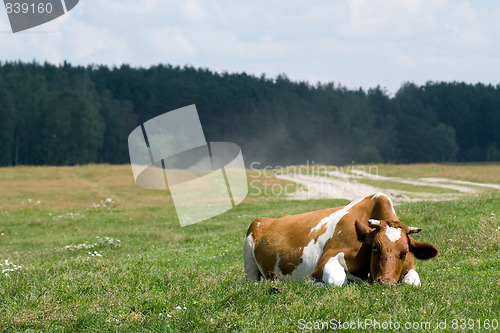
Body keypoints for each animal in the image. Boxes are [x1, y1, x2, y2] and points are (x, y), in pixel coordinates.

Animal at [244, 192, 440, 286]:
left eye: (404, 252)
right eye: (375, 247)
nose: (386, 282)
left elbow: (414, 282)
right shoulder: (325, 262)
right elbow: (338, 280)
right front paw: (315, 284)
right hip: (250, 251)